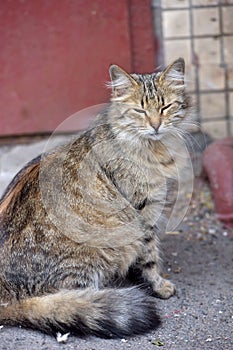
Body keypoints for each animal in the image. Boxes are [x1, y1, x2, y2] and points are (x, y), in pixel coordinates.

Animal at [0, 58, 191, 340]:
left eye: (165, 107)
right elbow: (149, 257)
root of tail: (6, 297)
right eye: (140, 111)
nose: (156, 125)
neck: (151, 149)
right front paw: (158, 285)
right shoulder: (142, 214)